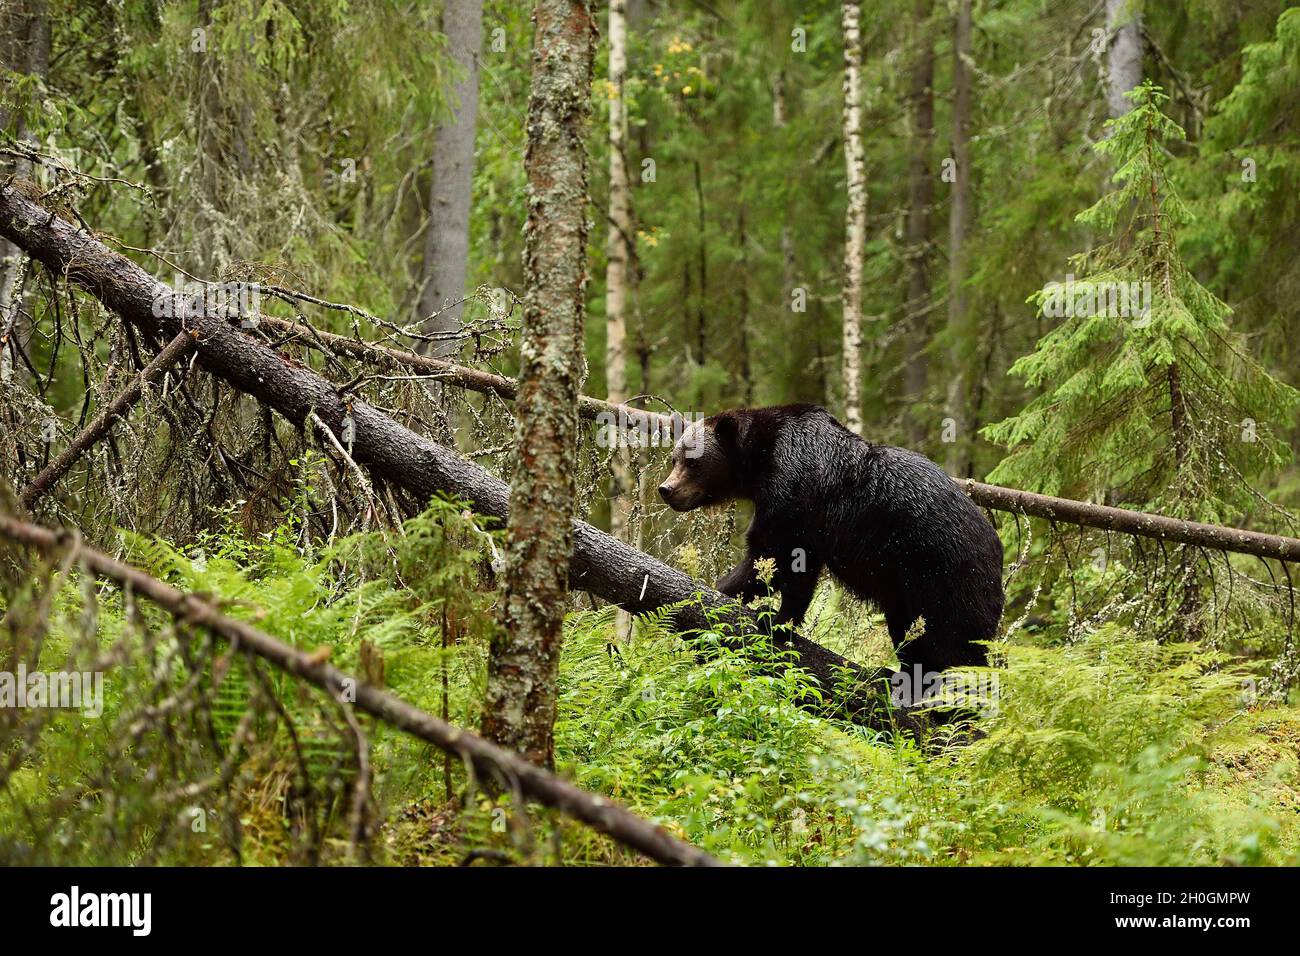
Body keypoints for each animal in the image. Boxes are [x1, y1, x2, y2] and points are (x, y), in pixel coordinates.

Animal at [657, 404, 1004, 676]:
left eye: (692, 461)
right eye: (674, 458)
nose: (666, 489)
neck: (759, 462)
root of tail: (996, 547)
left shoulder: (795, 491)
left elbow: (786, 558)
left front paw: (777, 620)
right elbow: (763, 558)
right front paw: (721, 589)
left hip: (945, 573)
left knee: (955, 642)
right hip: (906, 589)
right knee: (910, 632)